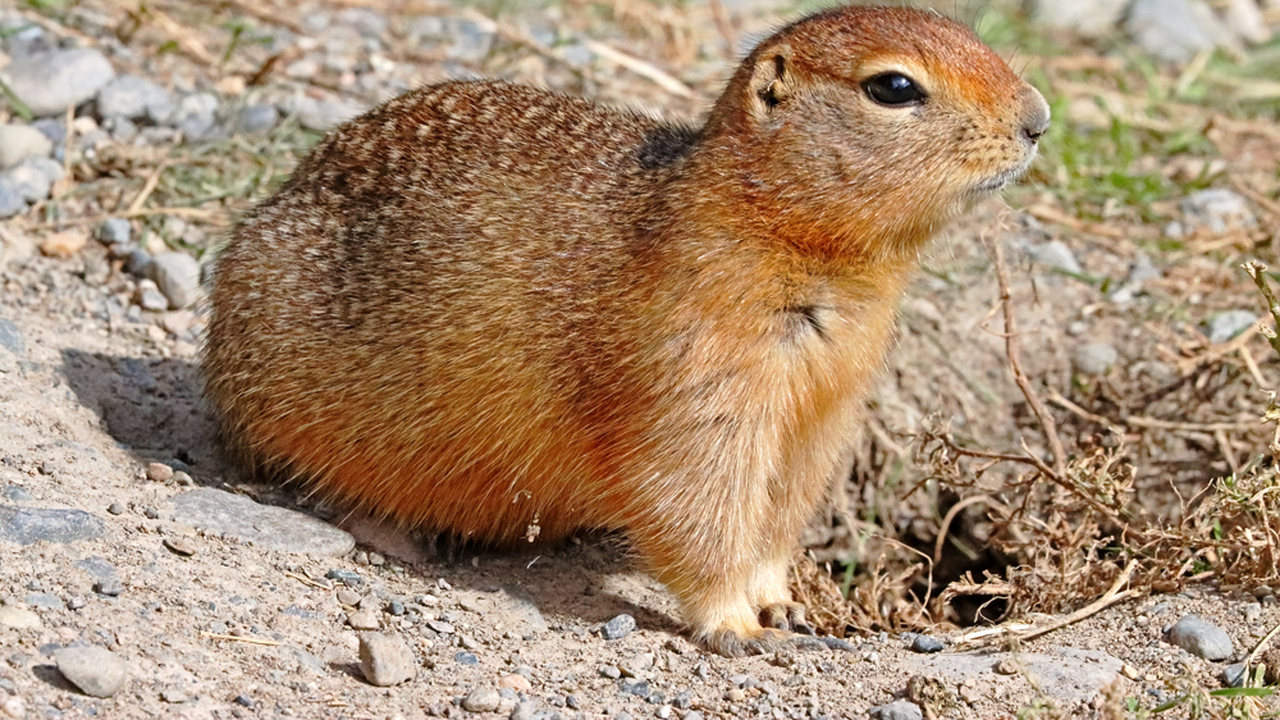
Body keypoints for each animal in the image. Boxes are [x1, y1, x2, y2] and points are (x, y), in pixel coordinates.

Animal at [204, 5, 1049, 655]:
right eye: (894, 86)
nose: (1039, 119)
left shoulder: (826, 409)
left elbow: (782, 508)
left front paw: (784, 601)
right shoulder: (698, 369)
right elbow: (695, 495)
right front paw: (738, 626)